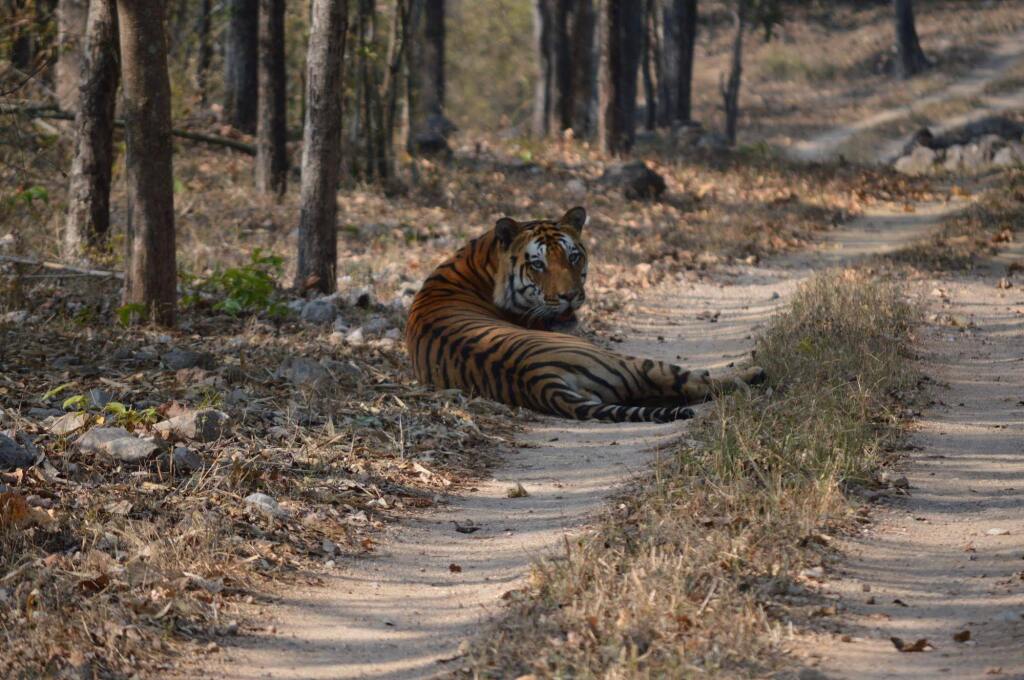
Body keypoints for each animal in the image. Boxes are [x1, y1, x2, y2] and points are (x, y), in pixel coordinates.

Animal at [405, 207, 765, 423]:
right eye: (538, 264)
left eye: (573, 257)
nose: (570, 296)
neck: (481, 260)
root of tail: (538, 380)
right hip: (628, 361)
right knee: (696, 382)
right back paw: (755, 373)